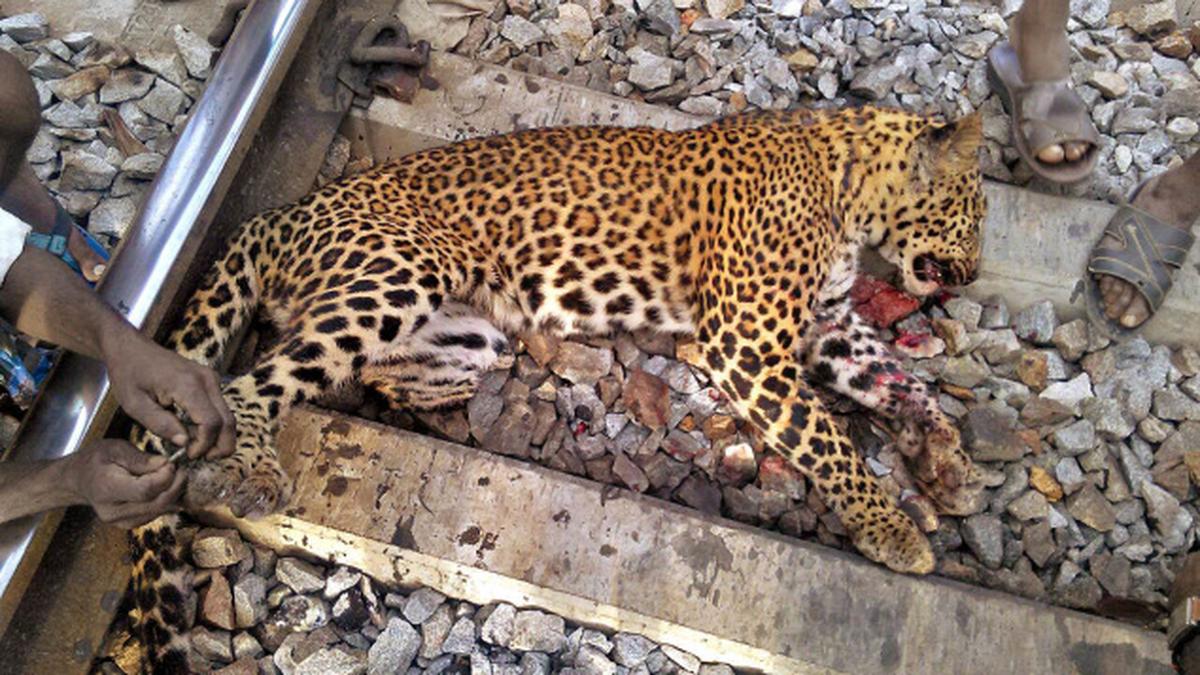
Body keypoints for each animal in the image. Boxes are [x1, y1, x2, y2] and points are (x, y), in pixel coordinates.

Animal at [128, 105, 987, 672]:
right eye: (974, 213)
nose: (977, 273)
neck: (849, 190)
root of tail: (282, 212)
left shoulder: (828, 328)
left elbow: (898, 382)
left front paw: (946, 464)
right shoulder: (747, 343)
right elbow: (826, 437)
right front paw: (893, 528)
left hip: (470, 334)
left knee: (373, 368)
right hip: (399, 274)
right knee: (253, 380)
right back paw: (258, 466)